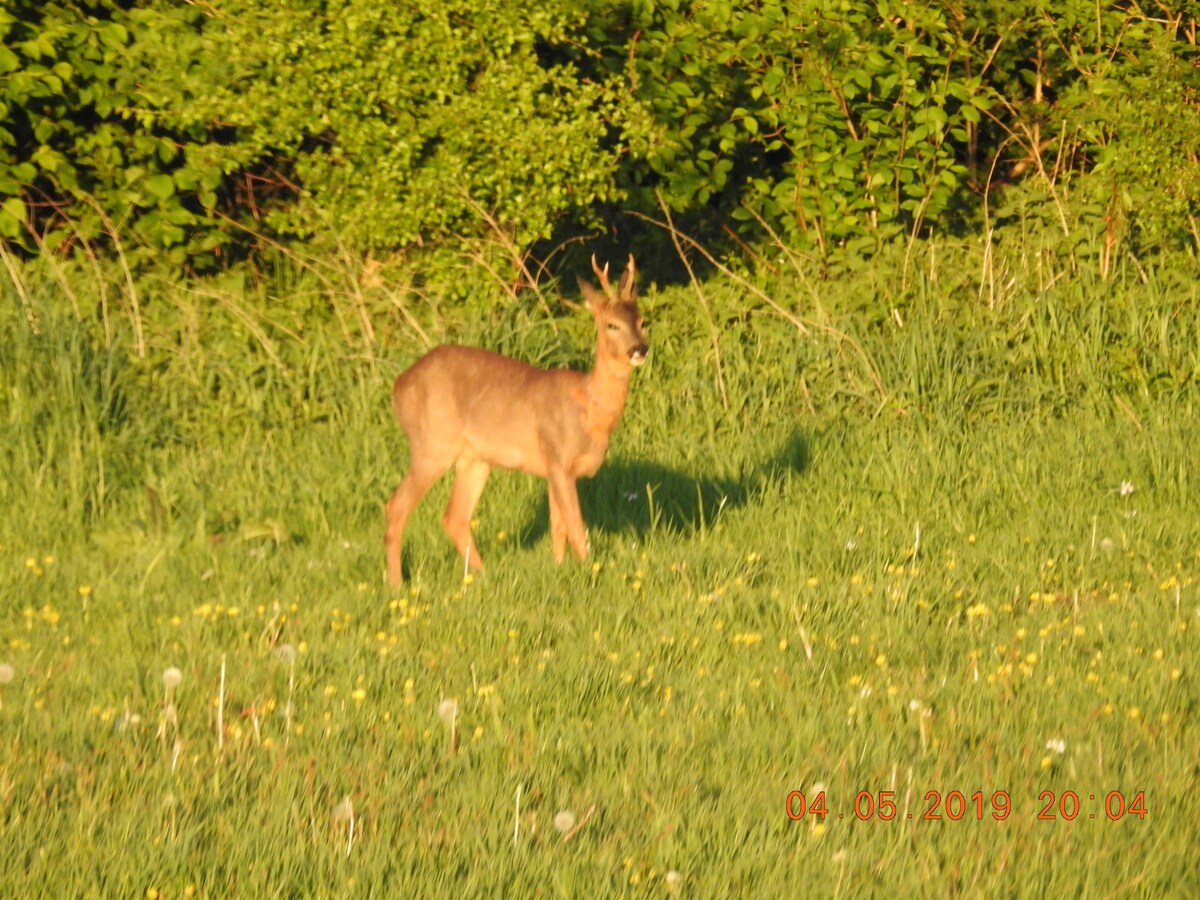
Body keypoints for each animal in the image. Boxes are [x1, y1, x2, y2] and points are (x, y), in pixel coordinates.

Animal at [384, 256, 648, 588]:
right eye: (612, 324)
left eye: (642, 321)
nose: (639, 349)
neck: (589, 408)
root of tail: (398, 386)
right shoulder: (558, 458)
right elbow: (576, 527)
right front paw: (590, 573)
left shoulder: (555, 469)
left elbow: (558, 528)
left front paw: (559, 570)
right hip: (431, 445)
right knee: (397, 506)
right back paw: (396, 584)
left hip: (475, 459)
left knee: (455, 516)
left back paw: (484, 576)